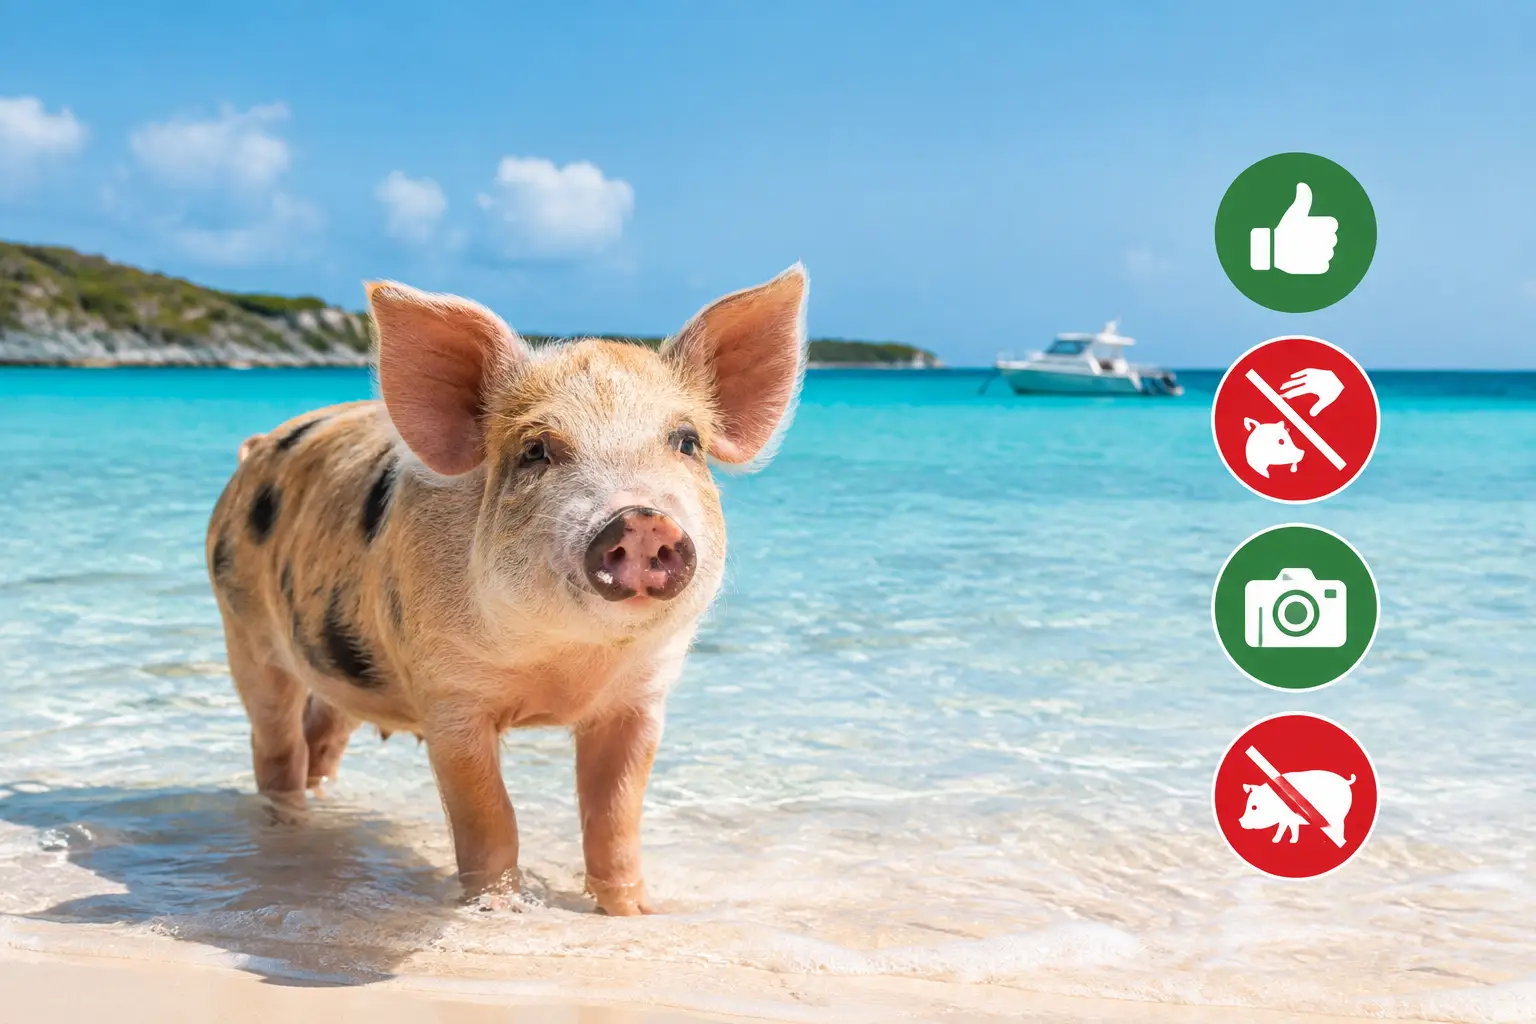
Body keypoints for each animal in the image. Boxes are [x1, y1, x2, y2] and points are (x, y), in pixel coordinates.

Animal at [205, 266, 809, 916]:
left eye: (688, 442)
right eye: (535, 450)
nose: (642, 519)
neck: (565, 666)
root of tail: (256, 449)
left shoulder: (641, 700)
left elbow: (615, 817)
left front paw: (635, 913)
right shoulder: (450, 697)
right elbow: (489, 815)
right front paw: (499, 910)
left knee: (324, 730)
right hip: (242, 627)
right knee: (275, 742)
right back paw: (287, 826)